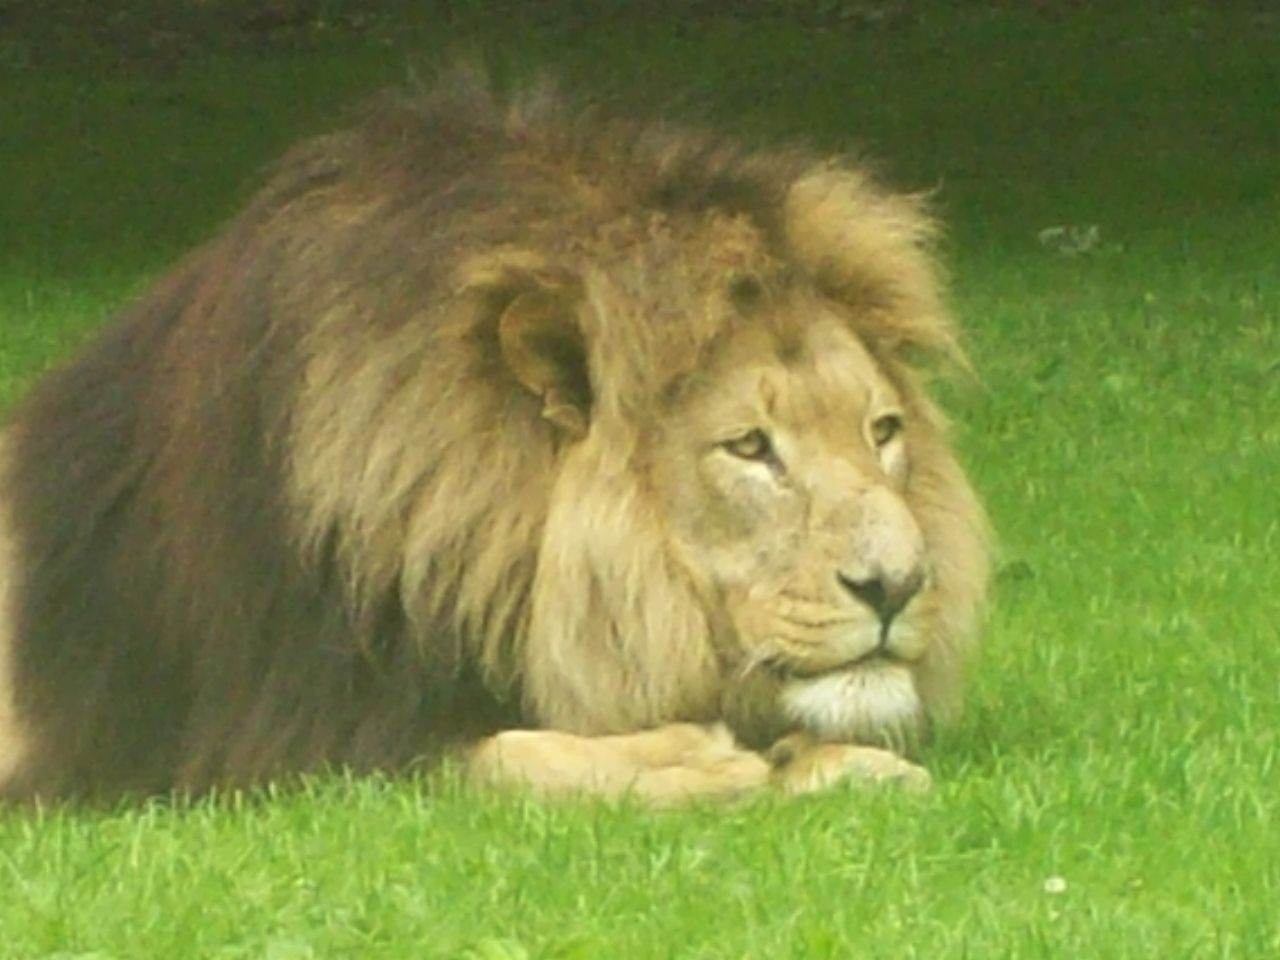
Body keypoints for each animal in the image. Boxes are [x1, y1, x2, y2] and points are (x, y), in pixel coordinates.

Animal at [0, 70, 988, 806]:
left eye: (883, 431)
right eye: (749, 447)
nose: (899, 586)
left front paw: (844, 764)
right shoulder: (269, 744)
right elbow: (492, 755)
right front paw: (679, 761)